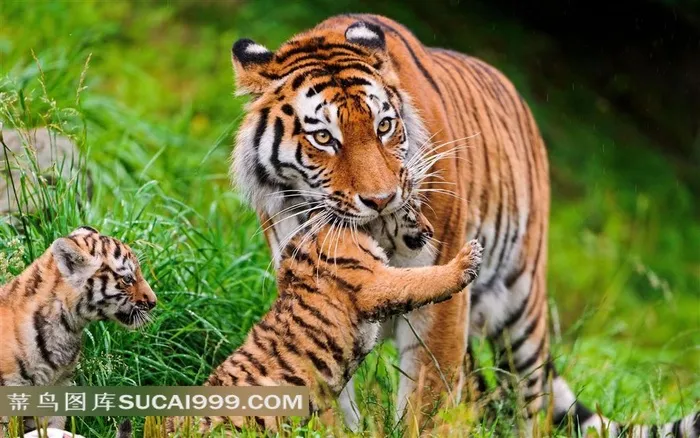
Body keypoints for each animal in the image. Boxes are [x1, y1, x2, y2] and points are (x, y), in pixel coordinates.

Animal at [228, 13, 700, 437]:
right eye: (324, 138)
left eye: (384, 126)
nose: (381, 200)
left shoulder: (439, 305)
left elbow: (427, 401)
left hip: (523, 310)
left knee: (530, 403)